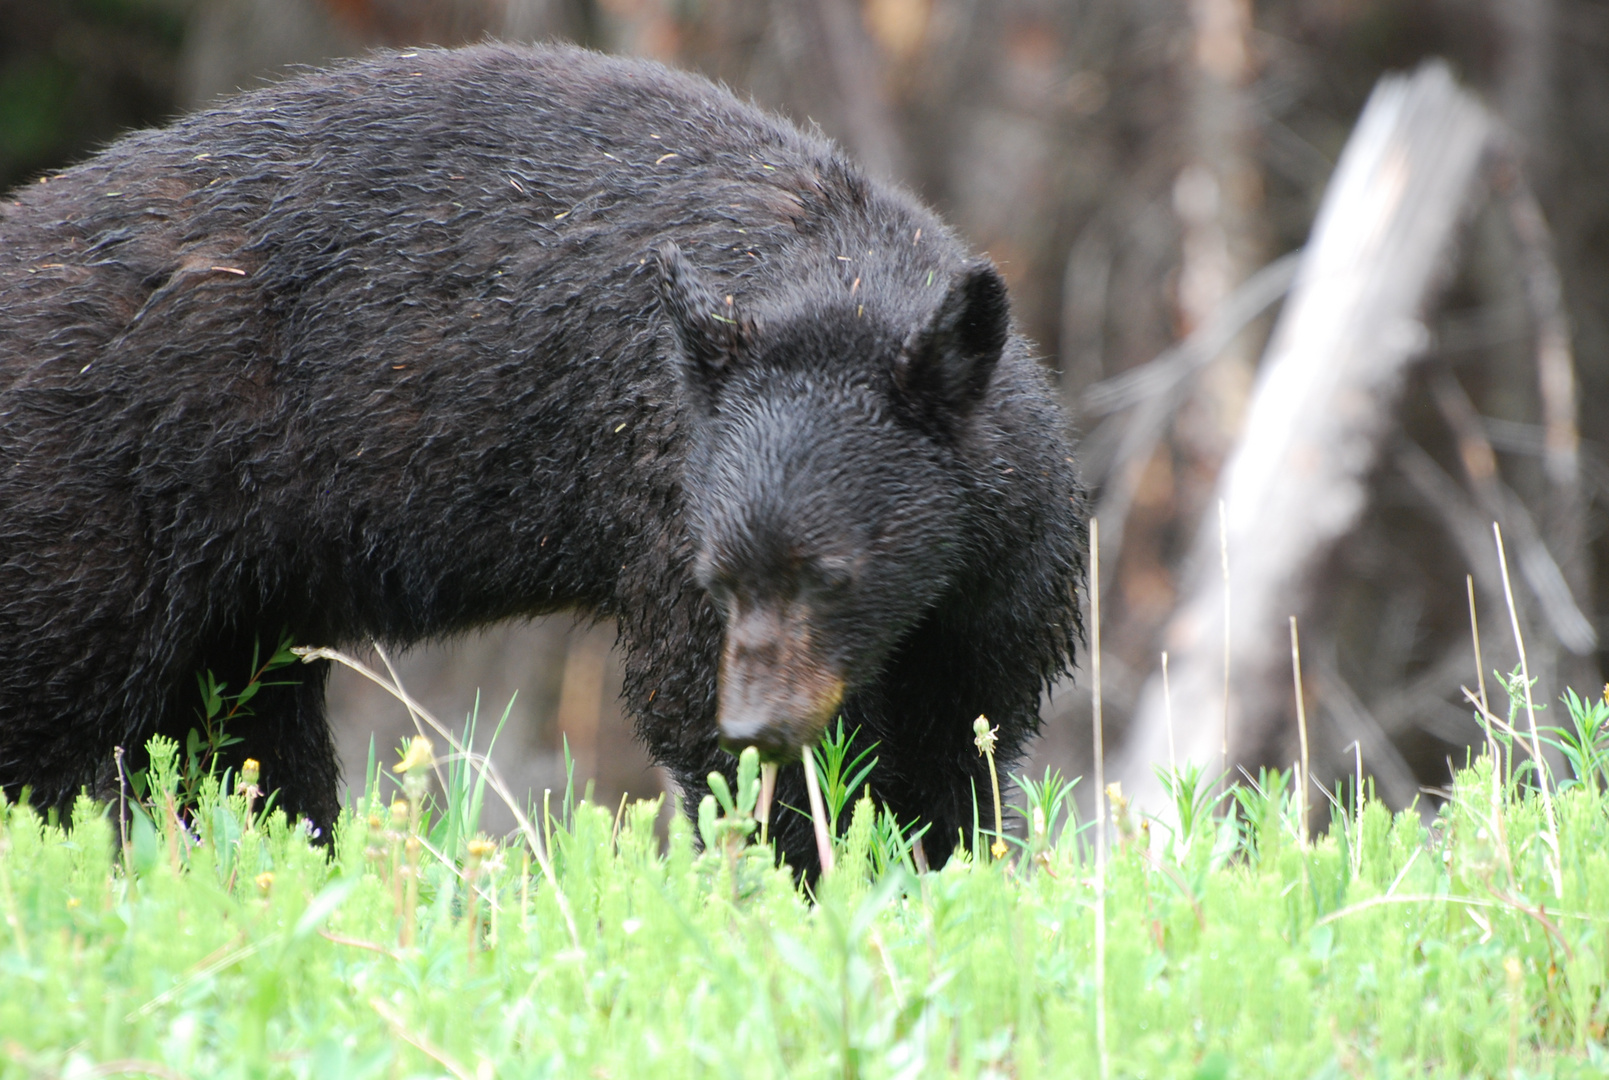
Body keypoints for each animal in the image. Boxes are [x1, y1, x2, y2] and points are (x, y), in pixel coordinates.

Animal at [0, 42, 1087, 875]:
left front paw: (942, 874)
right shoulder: (665, 500)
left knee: (236, 738)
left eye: (832, 572)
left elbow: (968, 739)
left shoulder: (1001, 574)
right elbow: (693, 706)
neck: (833, 278)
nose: (759, 724)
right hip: (88, 509)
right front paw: (802, 865)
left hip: (231, 585)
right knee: (58, 726)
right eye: (721, 576)